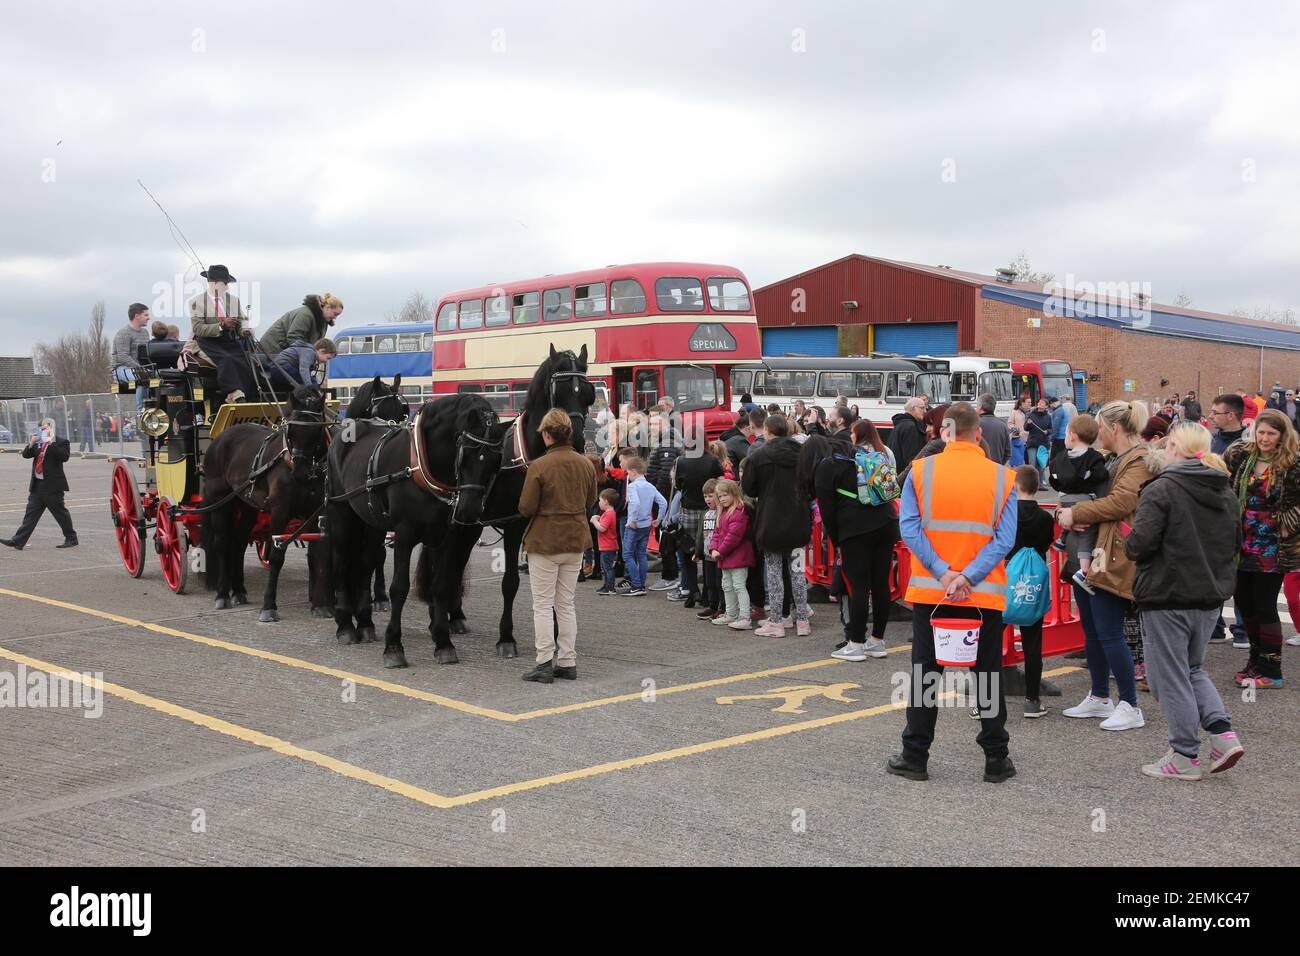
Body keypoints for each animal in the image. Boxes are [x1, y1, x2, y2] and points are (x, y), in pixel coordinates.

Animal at [198, 382, 330, 621]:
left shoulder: (316, 513)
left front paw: (319, 605)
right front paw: (269, 606)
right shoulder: (280, 511)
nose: (300, 472)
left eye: (317, 431)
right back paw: (222, 594)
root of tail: (221, 438)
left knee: (238, 543)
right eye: (291, 431)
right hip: (221, 502)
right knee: (222, 543)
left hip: (247, 506)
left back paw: (238, 591)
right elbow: (277, 557)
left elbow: (318, 554)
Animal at [327, 385, 504, 671]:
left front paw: (444, 643)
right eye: (465, 453)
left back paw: (364, 623)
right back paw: (345, 626)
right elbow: (399, 588)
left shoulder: (447, 536)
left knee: (366, 562)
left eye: (495, 459)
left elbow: (441, 585)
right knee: (342, 562)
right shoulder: (405, 533)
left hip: (372, 522)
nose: (469, 510)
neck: (421, 465)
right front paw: (394, 647)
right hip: (341, 512)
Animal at [416, 343, 598, 658]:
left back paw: (455, 615)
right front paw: (506, 637)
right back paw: (437, 619)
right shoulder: (513, 527)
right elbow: (510, 582)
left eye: (588, 393)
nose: (575, 439)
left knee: (456, 564)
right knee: (441, 564)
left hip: (470, 526)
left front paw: (556, 630)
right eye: (559, 392)